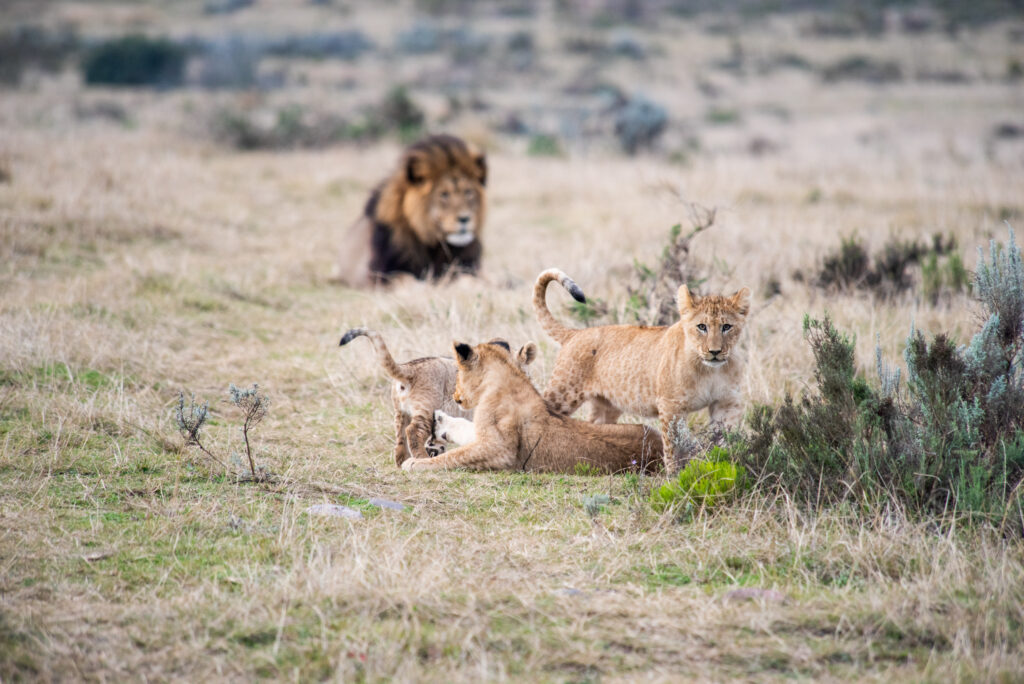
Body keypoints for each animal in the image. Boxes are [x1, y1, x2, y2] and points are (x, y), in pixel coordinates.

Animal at [329, 133, 485, 286]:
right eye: (444, 194)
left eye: (468, 192)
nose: (465, 218)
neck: (433, 244)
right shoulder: (380, 274)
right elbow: (406, 280)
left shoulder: (467, 266)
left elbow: (469, 278)